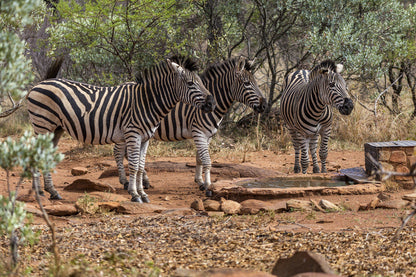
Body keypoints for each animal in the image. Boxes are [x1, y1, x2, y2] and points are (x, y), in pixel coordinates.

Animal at [26, 56, 214, 203]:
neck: (146, 102)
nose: (211, 103)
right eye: (190, 83)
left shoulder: (146, 138)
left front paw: (143, 194)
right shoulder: (133, 134)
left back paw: (51, 192)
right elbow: (133, 165)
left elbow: (140, 166)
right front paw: (135, 195)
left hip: (55, 130)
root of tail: (40, 83)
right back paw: (39, 193)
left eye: (201, 82)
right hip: (43, 125)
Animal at [114, 56, 266, 194]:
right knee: (119, 152)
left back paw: (141, 181)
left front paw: (200, 181)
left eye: (254, 82)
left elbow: (199, 158)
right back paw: (126, 181)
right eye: (247, 83)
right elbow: (207, 160)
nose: (264, 105)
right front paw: (208, 186)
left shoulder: (208, 135)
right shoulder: (199, 132)